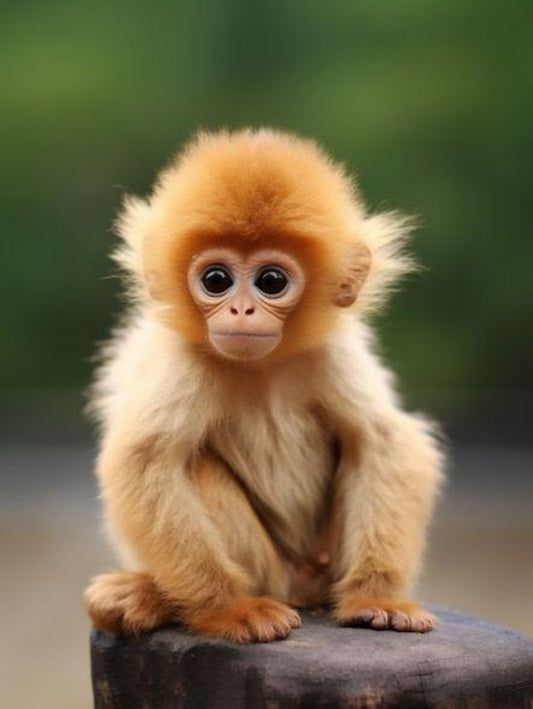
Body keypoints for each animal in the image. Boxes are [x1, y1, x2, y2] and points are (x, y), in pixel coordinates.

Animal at [84, 128, 443, 643]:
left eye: (271, 281)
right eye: (216, 279)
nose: (241, 310)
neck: (262, 369)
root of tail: (302, 589)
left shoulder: (331, 356)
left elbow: (386, 441)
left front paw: (379, 598)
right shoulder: (184, 362)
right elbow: (144, 462)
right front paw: (229, 609)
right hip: (275, 573)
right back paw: (150, 595)